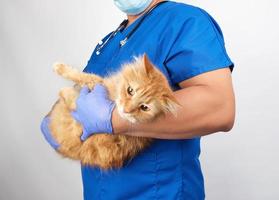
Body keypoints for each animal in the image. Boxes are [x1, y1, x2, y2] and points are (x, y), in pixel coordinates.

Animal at [44, 54, 178, 170]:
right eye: (130, 90)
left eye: (144, 107)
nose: (126, 110)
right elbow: (82, 78)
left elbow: (79, 88)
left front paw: (62, 83)